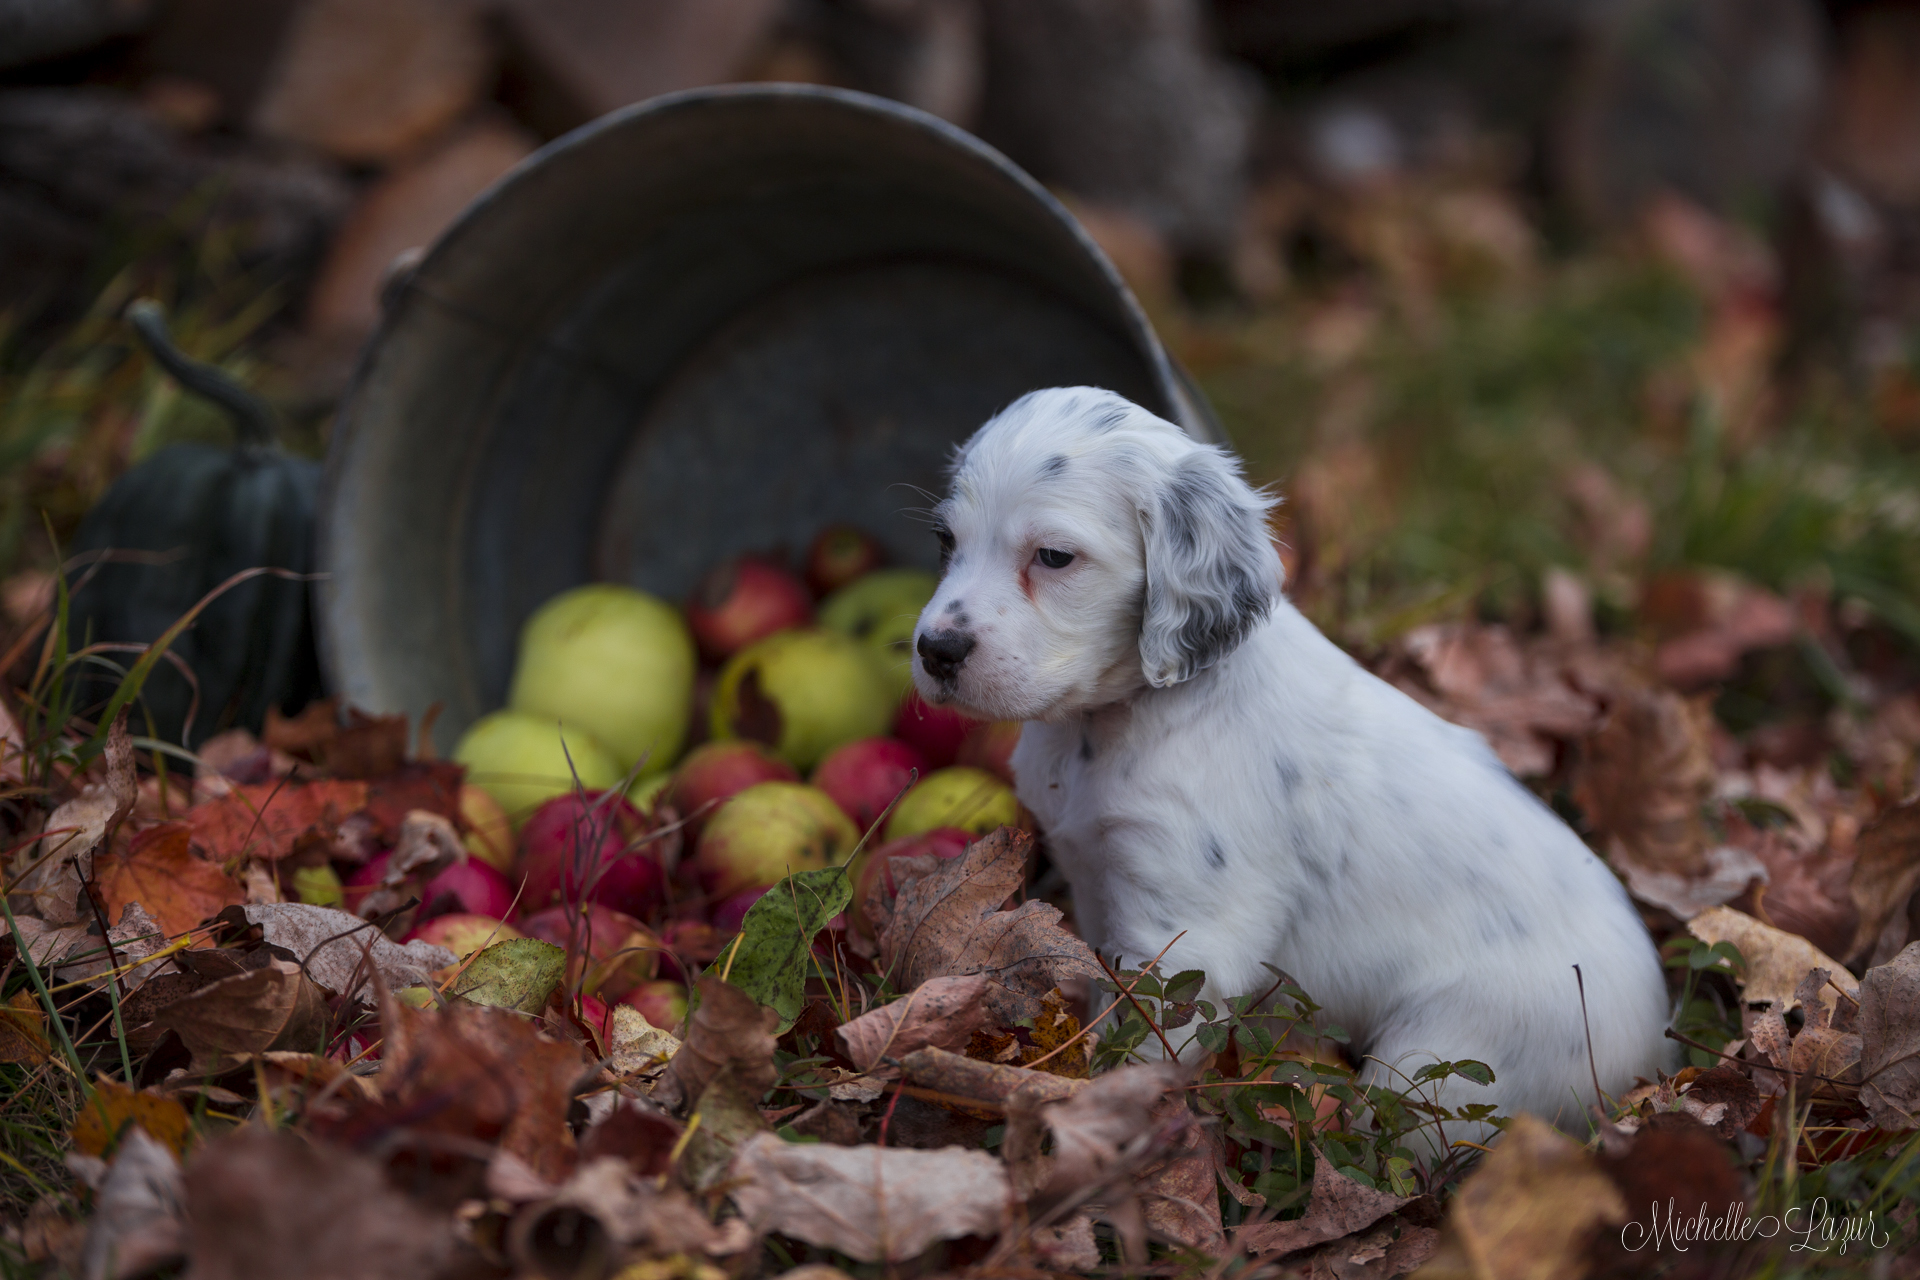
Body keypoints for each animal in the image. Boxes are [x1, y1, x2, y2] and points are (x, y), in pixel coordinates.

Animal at [906, 385, 1674, 1143]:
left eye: (1055, 556)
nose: (935, 651)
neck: (1113, 721)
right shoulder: (1099, 887)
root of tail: (1651, 1059)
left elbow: (1147, 1041)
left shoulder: (1188, 931)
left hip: (1443, 1058)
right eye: (945, 541)